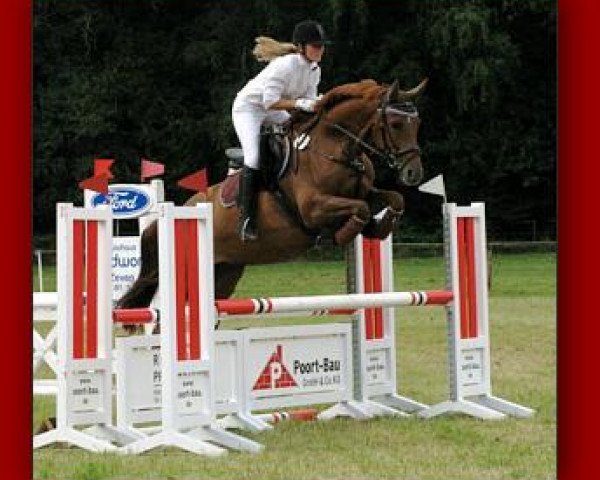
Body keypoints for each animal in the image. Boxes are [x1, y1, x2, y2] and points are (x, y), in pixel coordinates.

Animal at [117, 79, 426, 316]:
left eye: (417, 123)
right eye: (396, 124)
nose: (414, 173)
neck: (335, 148)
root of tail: (184, 208)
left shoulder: (366, 191)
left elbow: (394, 199)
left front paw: (379, 227)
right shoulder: (314, 209)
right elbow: (360, 208)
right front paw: (344, 233)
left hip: (225, 272)